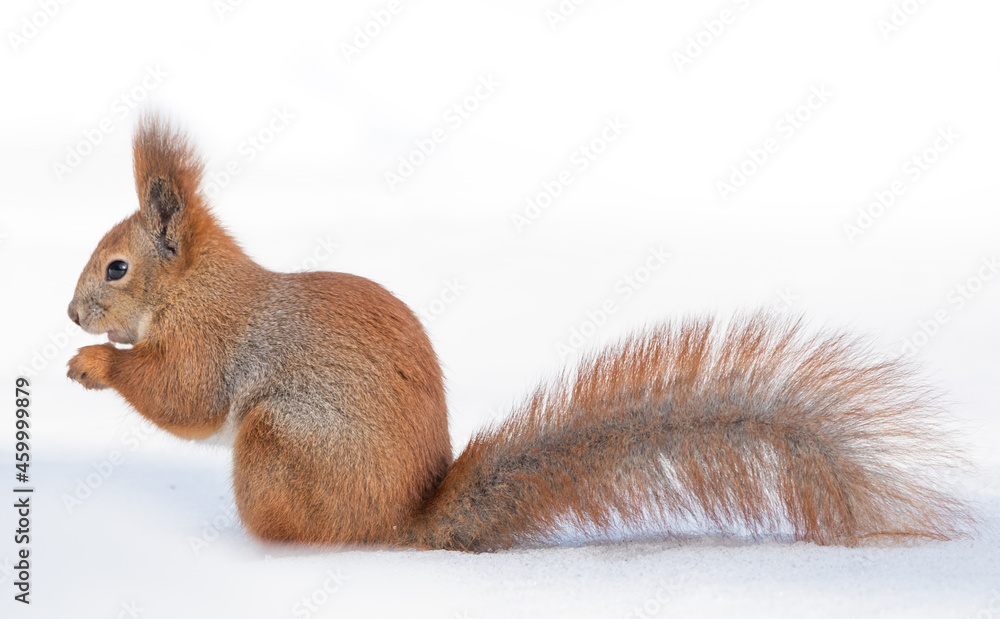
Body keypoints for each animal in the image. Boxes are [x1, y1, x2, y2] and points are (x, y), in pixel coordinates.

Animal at [66, 116, 970, 552]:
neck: (192, 288)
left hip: (278, 443)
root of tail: (405, 522)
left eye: (116, 267)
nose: (72, 313)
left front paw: (94, 363)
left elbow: (181, 394)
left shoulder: (213, 342)